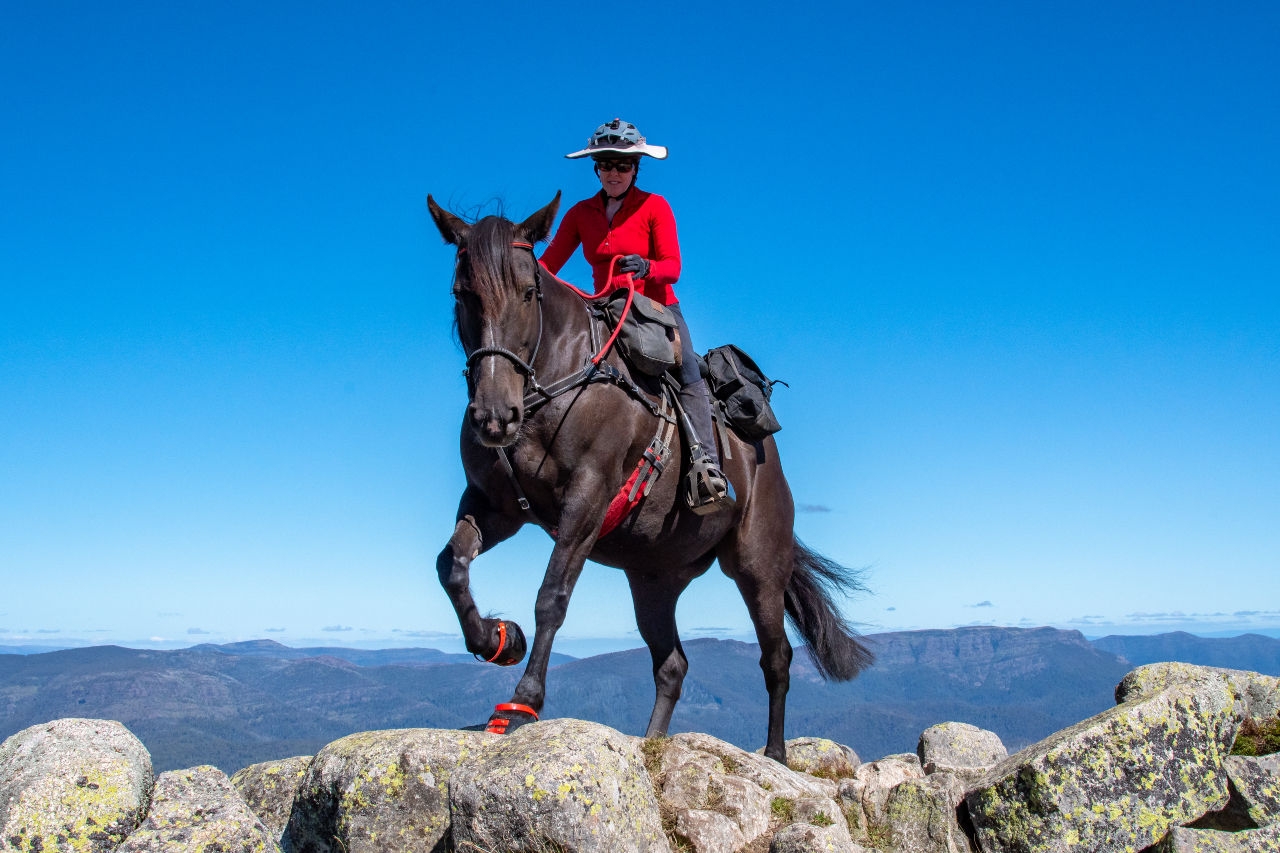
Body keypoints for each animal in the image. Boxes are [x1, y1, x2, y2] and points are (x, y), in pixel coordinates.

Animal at [427, 192, 870, 758]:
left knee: (776, 659)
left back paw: (774, 754)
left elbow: (552, 596)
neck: (553, 384)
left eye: (528, 293)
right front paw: (498, 640)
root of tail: (765, 460)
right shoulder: (494, 506)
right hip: (653, 581)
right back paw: (651, 743)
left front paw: (521, 704)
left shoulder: (586, 501)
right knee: (673, 666)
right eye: (462, 294)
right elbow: (451, 564)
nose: (493, 417)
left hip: (758, 567)